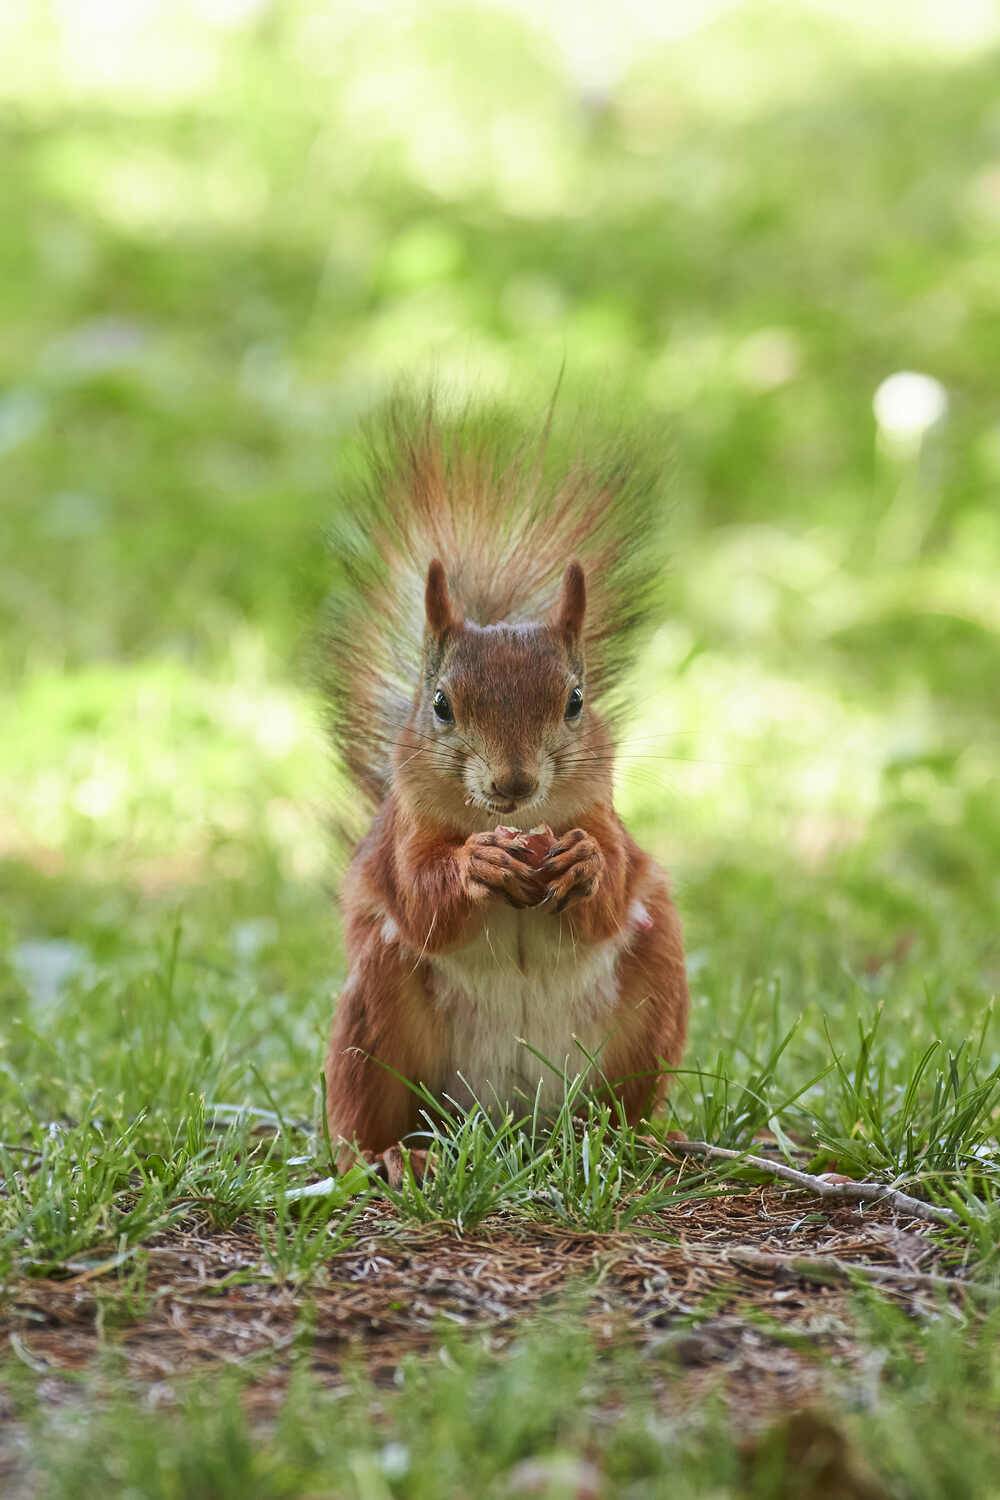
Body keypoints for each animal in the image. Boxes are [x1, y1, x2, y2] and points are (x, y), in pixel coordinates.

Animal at [322, 400, 689, 1183]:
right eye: (440, 705)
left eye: (576, 701)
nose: (513, 783)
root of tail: (513, 1124)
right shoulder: (403, 837)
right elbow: (424, 899)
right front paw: (477, 865)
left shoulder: (604, 816)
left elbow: (611, 884)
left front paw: (584, 864)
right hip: (375, 1018)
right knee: (365, 1113)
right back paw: (391, 1155)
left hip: (652, 995)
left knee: (619, 1103)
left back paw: (638, 1139)